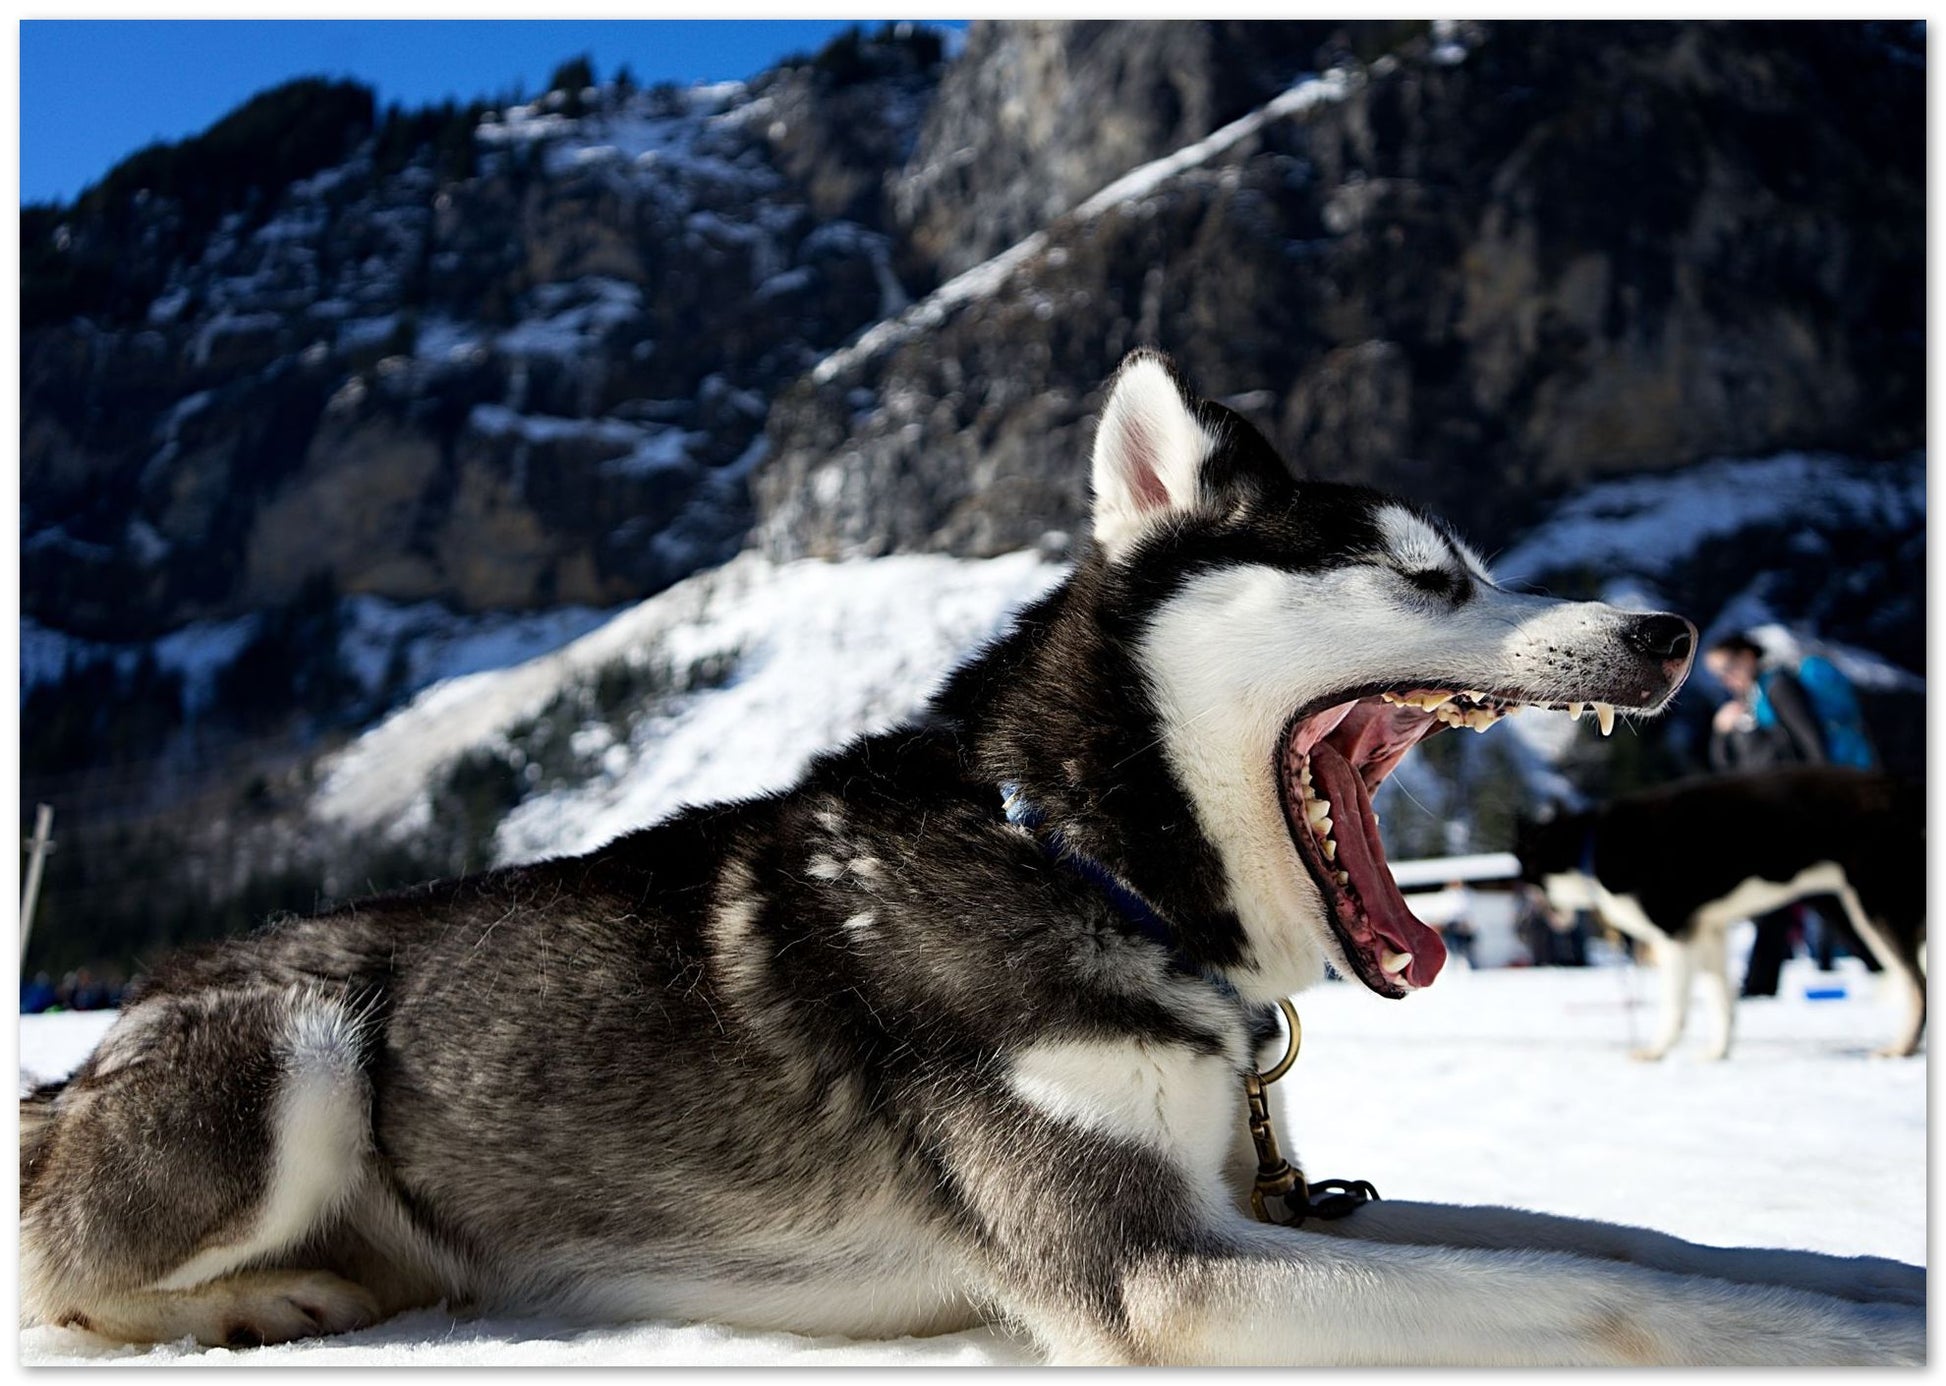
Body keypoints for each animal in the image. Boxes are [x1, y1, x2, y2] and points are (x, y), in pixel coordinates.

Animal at [1516, 768, 1926, 1062]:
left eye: (1526, 867)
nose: (1518, 887)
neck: (1591, 845)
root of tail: (1907, 790)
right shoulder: (1708, 932)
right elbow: (1721, 1003)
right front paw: (1718, 1052)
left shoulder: (1674, 937)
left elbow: (1676, 1007)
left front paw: (1657, 1050)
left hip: (1874, 911)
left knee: (1917, 988)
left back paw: (1901, 1048)